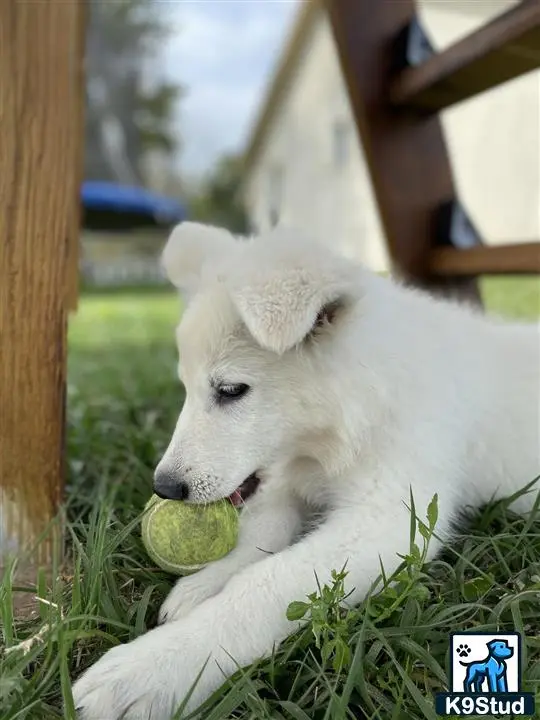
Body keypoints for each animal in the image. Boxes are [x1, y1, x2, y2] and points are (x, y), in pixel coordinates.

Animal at [73, 222, 540, 716]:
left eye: (230, 390)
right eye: (185, 388)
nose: (165, 488)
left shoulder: (391, 519)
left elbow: (265, 583)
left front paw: (152, 669)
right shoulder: (286, 482)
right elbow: (260, 534)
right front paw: (202, 586)